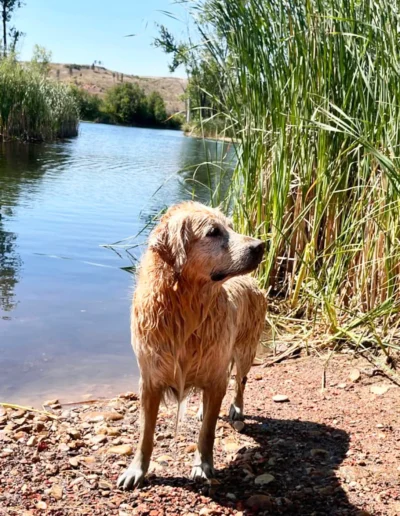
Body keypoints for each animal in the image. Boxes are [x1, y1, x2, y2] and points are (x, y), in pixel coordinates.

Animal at [117, 201, 268, 488]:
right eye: (213, 232)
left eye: (231, 227)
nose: (261, 245)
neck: (185, 310)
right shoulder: (150, 380)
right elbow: (145, 433)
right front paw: (136, 470)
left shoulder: (216, 372)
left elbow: (207, 432)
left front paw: (203, 465)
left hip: (244, 350)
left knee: (240, 382)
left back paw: (237, 408)